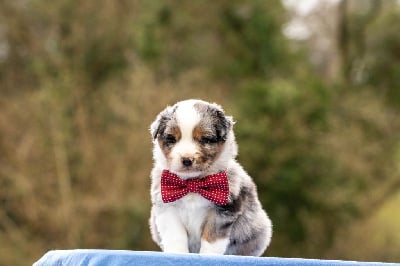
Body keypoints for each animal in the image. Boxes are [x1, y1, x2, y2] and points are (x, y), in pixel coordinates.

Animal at [149, 99, 272, 256]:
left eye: (205, 139)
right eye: (172, 139)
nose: (187, 160)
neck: (193, 183)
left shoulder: (221, 212)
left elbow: (211, 238)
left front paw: (208, 255)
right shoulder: (167, 207)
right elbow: (175, 235)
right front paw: (177, 253)